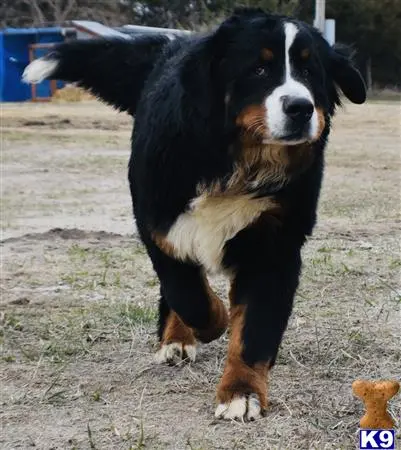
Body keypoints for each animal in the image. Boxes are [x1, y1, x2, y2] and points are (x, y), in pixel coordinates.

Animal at [22, 7, 366, 422]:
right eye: (258, 69)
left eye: (310, 71)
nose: (300, 108)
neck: (235, 161)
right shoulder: (159, 225)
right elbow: (190, 296)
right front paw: (214, 321)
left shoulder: (275, 246)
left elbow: (254, 330)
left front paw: (241, 392)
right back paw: (176, 340)